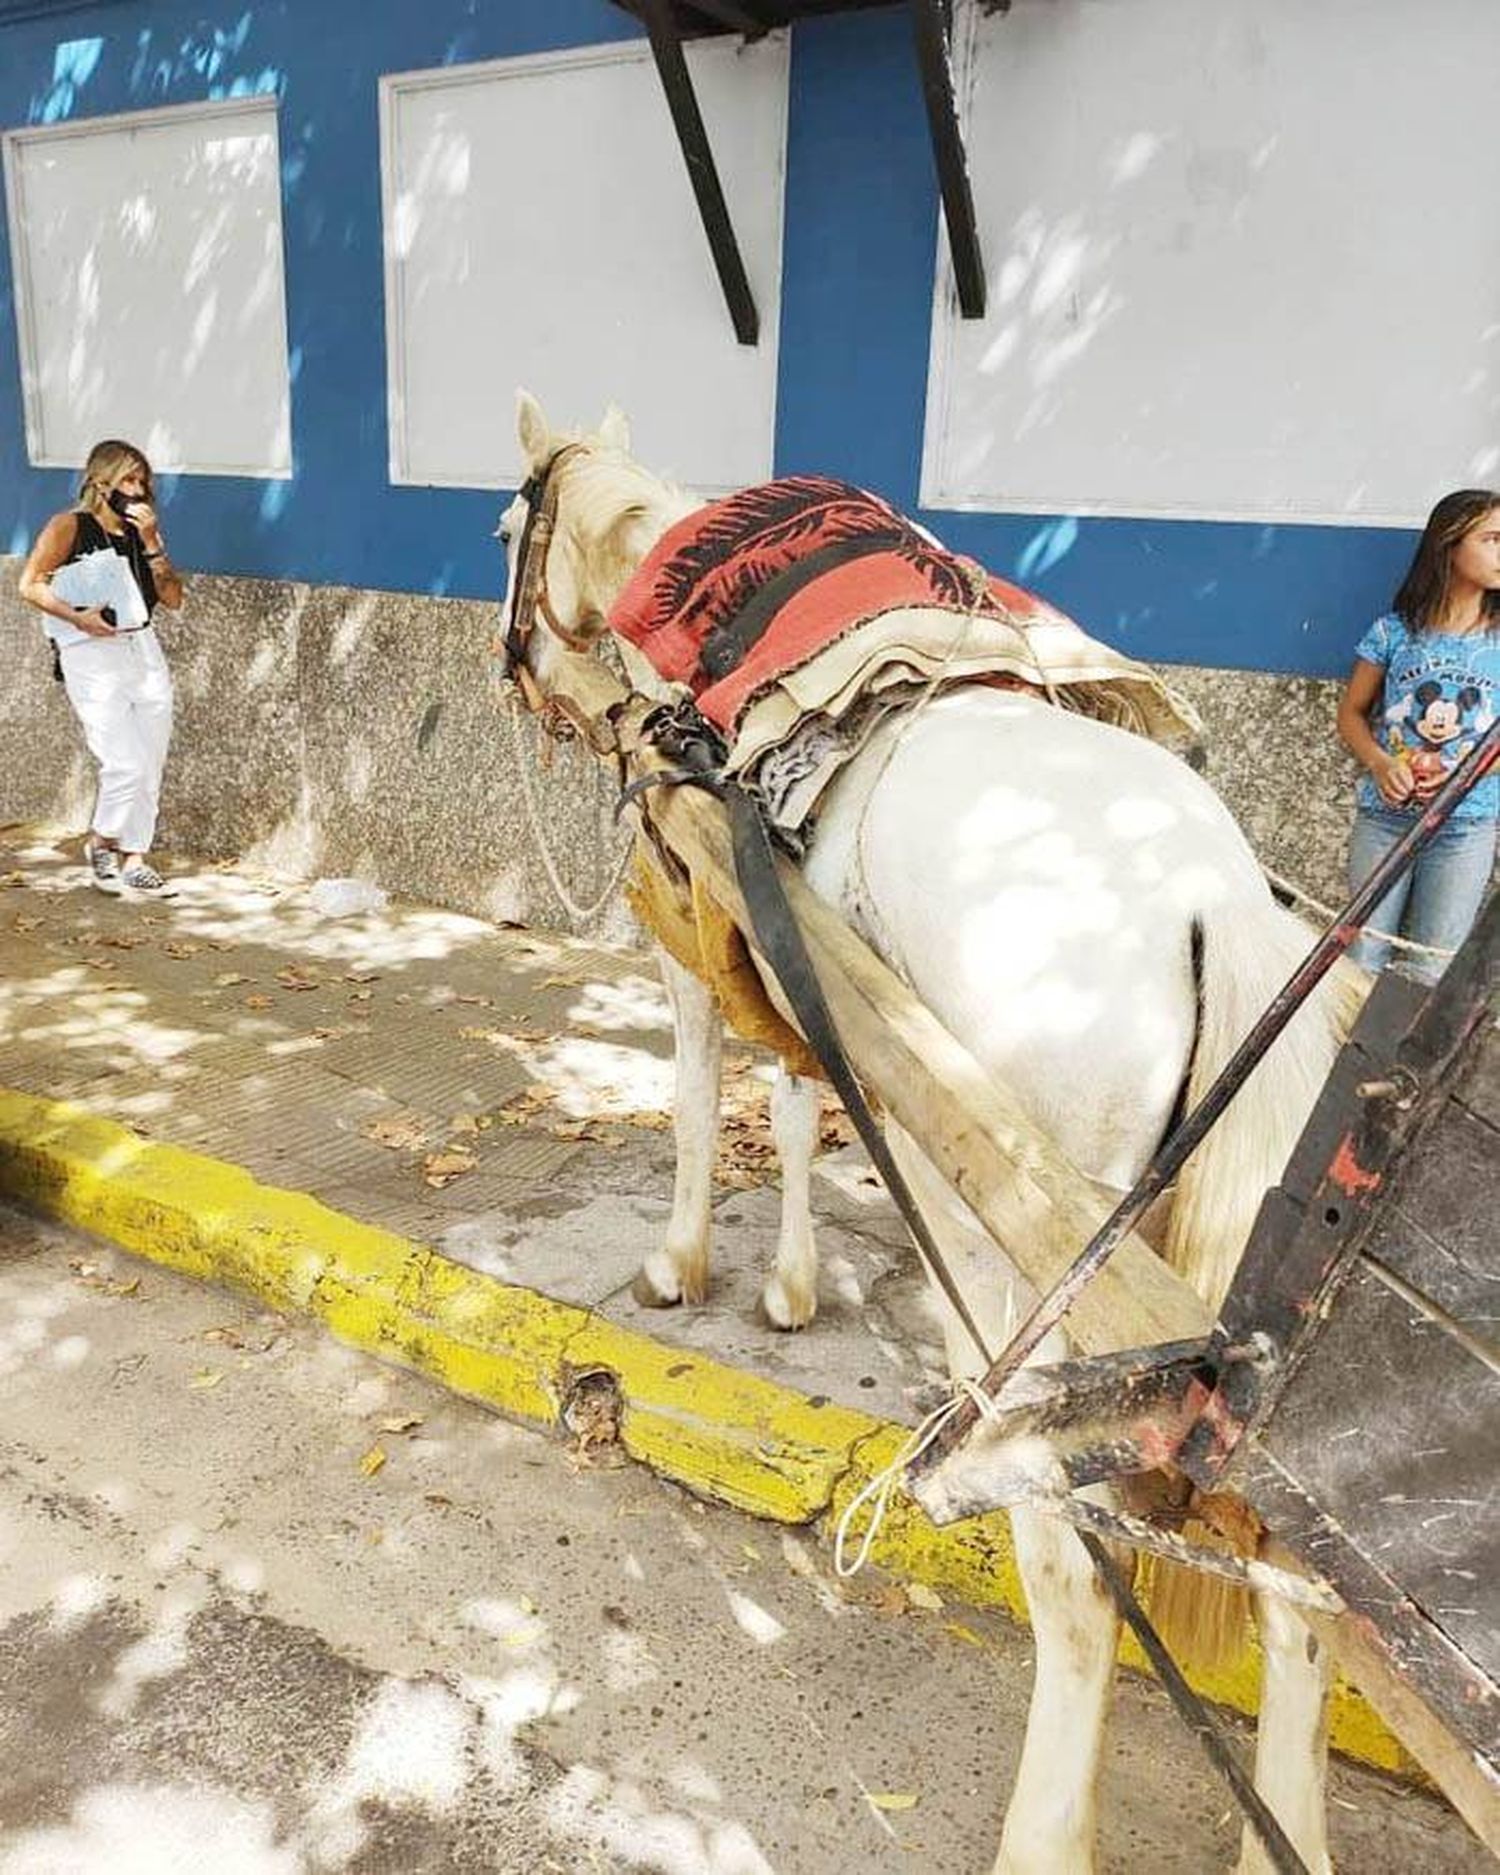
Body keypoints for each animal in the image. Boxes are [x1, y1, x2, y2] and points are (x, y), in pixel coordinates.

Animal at [502, 395, 1357, 1875]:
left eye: (507, 528)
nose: (515, 678)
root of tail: (1225, 907)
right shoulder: (811, 986)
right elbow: (796, 1114)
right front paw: (790, 1286)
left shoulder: (698, 937)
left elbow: (697, 1101)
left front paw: (681, 1265)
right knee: (1292, 1595)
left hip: (1019, 1280)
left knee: (1078, 1577)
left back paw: (1042, 1829)